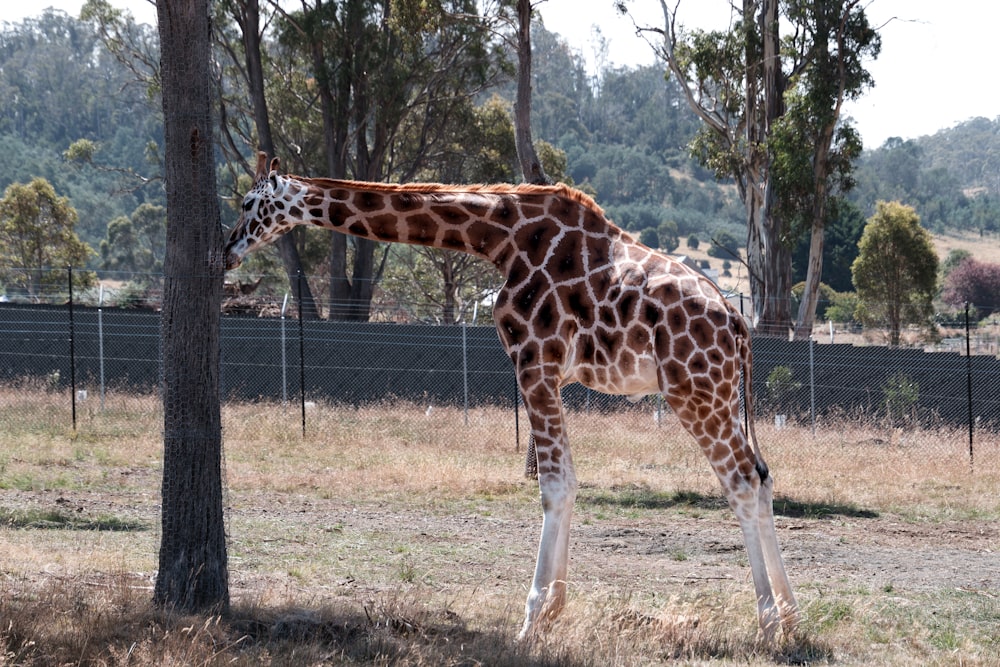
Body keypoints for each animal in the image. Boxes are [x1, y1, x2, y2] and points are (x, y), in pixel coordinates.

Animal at [225, 154, 796, 644]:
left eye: (250, 203)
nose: (227, 249)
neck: (499, 237)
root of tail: (738, 322)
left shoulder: (534, 360)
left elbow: (556, 485)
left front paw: (534, 618)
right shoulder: (549, 372)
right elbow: (567, 481)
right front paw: (552, 611)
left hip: (693, 392)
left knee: (741, 481)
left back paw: (768, 623)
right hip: (720, 395)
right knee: (763, 475)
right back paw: (791, 615)